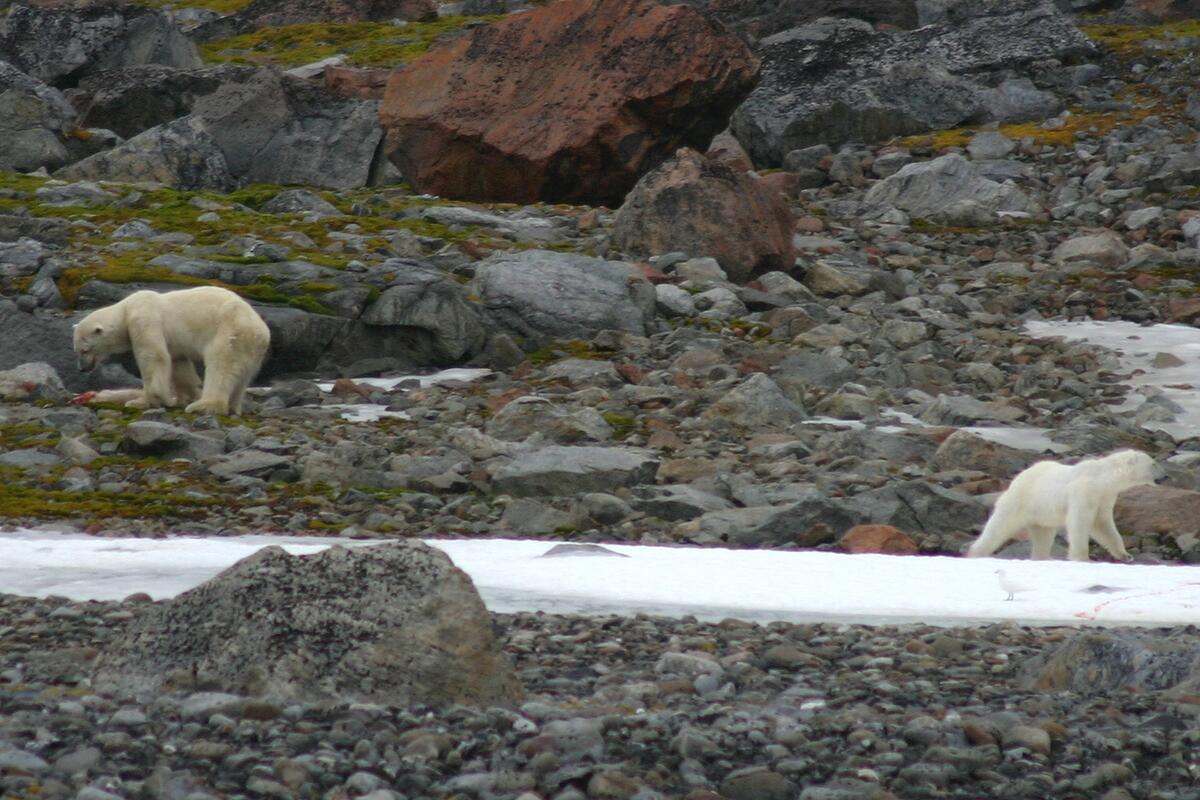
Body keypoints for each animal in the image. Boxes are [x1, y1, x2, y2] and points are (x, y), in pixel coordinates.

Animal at [75, 284, 272, 417]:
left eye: (84, 350)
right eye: (77, 350)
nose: (82, 368)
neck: (126, 308)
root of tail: (261, 331)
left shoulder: (144, 318)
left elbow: (154, 356)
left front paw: (141, 401)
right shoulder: (173, 343)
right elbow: (178, 363)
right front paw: (185, 397)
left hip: (230, 332)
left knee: (221, 366)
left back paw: (205, 405)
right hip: (252, 350)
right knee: (242, 376)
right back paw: (232, 407)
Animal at [969, 450, 1166, 563]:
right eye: (1153, 463)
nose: (1165, 476)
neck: (1103, 477)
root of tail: (1020, 476)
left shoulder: (1105, 496)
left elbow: (1102, 524)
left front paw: (1125, 555)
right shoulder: (1084, 490)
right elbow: (1080, 521)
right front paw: (1082, 558)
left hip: (1042, 515)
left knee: (1043, 537)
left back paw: (1041, 558)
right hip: (1021, 500)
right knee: (998, 527)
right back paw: (975, 553)